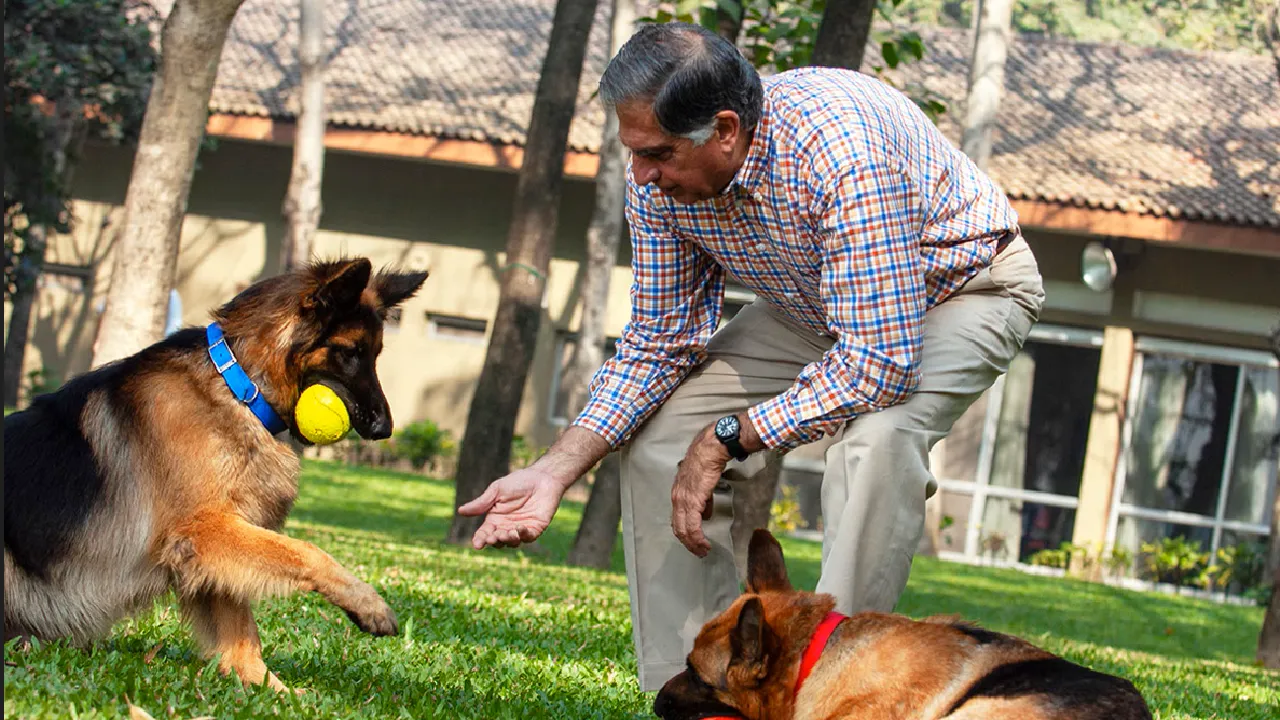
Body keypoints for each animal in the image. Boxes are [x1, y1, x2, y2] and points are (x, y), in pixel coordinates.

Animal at [3, 254, 430, 686]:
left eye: (374, 354)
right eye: (350, 352)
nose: (384, 429)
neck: (237, 387)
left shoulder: (214, 544)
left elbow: (240, 628)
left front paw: (266, 686)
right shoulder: (204, 529)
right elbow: (306, 551)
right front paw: (369, 604)